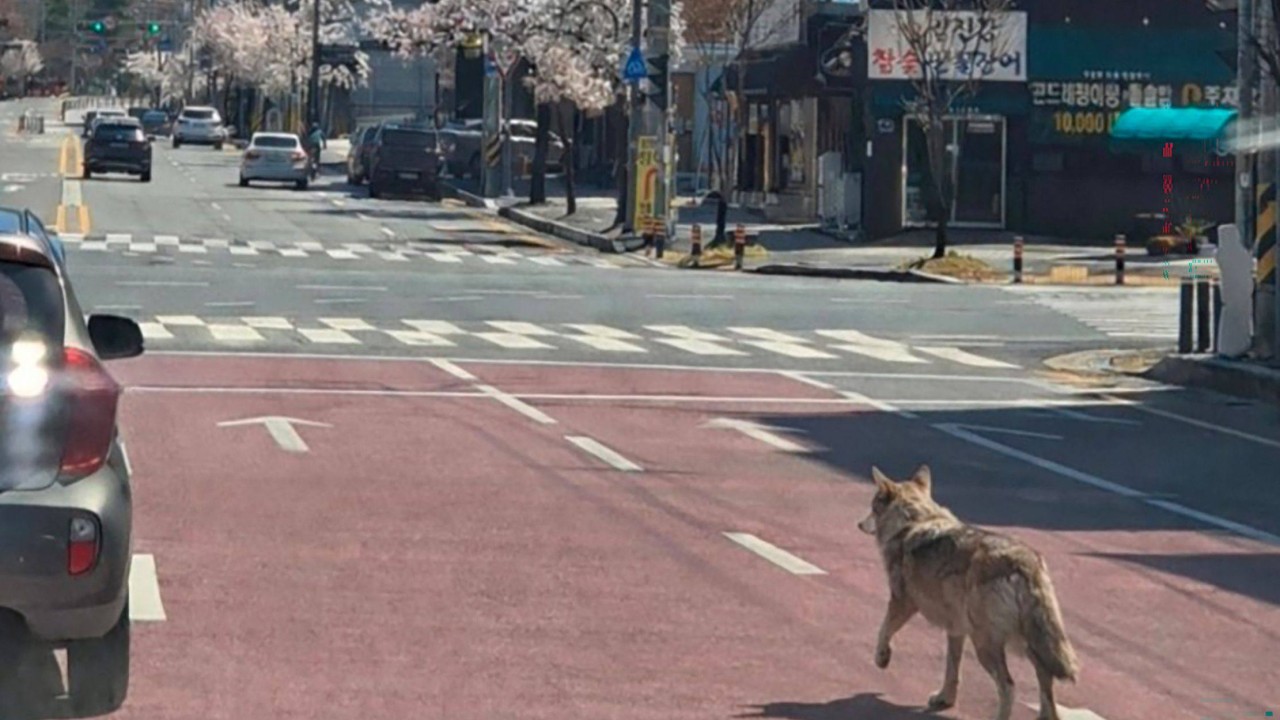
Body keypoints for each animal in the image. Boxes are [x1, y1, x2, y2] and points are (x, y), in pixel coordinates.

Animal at [857, 465, 1079, 720]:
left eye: (872, 508)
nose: (859, 524)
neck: (913, 521)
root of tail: (1025, 562)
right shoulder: (955, 629)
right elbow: (952, 669)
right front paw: (944, 699)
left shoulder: (901, 603)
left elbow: (883, 631)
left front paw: (881, 658)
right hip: (1025, 642)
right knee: (1045, 678)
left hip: (987, 644)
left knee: (1008, 686)